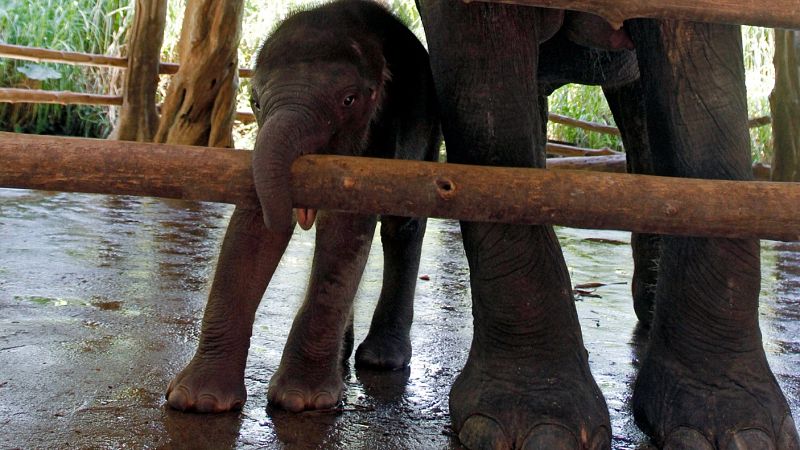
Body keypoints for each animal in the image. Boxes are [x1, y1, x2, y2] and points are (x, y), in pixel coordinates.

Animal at [165, 0, 440, 413]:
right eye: (255, 102)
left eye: (349, 100)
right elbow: (251, 221)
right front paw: (198, 402)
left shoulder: (377, 134)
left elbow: (344, 231)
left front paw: (302, 402)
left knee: (402, 227)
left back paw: (381, 359)